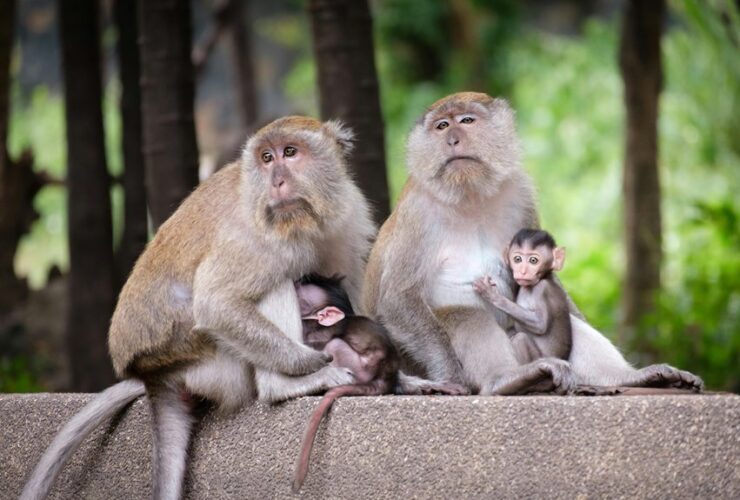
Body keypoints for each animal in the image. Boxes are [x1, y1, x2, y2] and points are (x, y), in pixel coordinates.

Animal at [21, 116, 376, 500]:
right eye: (267, 158)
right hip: (210, 361)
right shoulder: (254, 238)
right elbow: (215, 304)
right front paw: (313, 361)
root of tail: (152, 374)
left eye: (290, 152)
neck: (305, 221)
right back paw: (283, 385)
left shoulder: (348, 214)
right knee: (275, 284)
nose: (276, 181)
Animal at [474, 228, 572, 364]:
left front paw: (494, 296)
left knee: (520, 338)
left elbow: (540, 324)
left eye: (533, 260)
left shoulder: (542, 289)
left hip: (539, 357)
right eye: (517, 259)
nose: (523, 271)